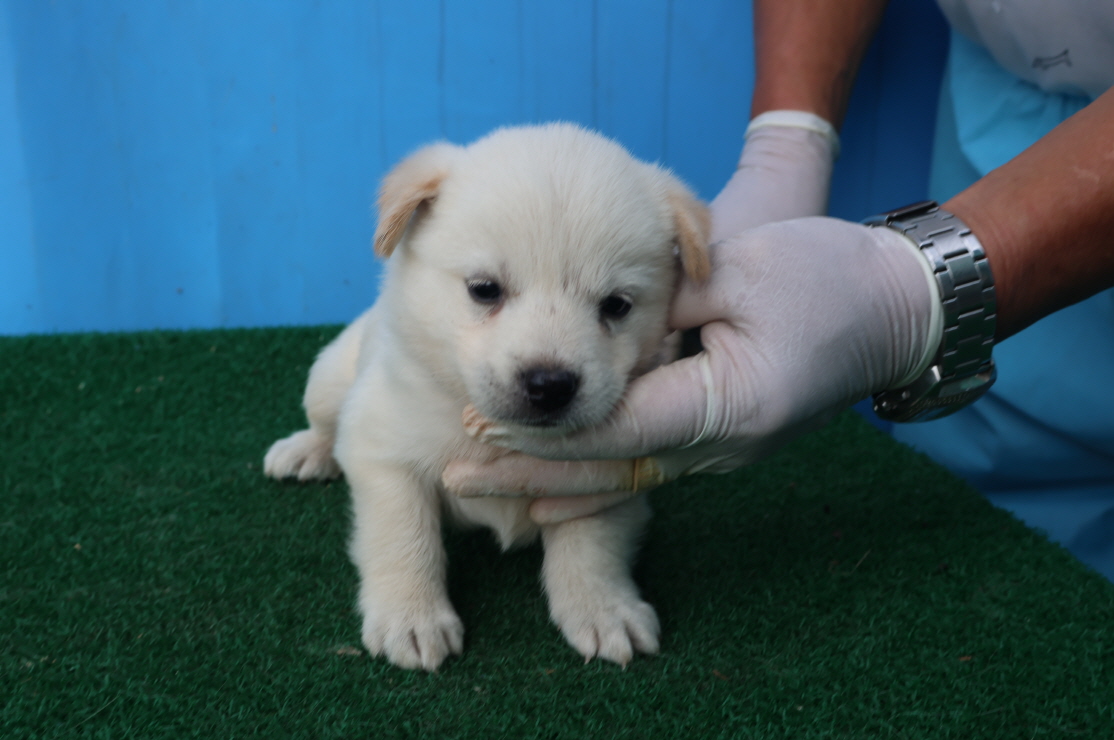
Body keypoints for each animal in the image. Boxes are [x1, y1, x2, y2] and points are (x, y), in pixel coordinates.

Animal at [265, 124, 708, 673]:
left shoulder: (604, 478)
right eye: (484, 289)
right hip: (328, 381)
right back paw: (304, 451)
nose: (549, 384)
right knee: (325, 424)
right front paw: (411, 618)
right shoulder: (383, 453)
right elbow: (403, 538)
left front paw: (603, 608)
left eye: (617, 305)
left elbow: (591, 547)